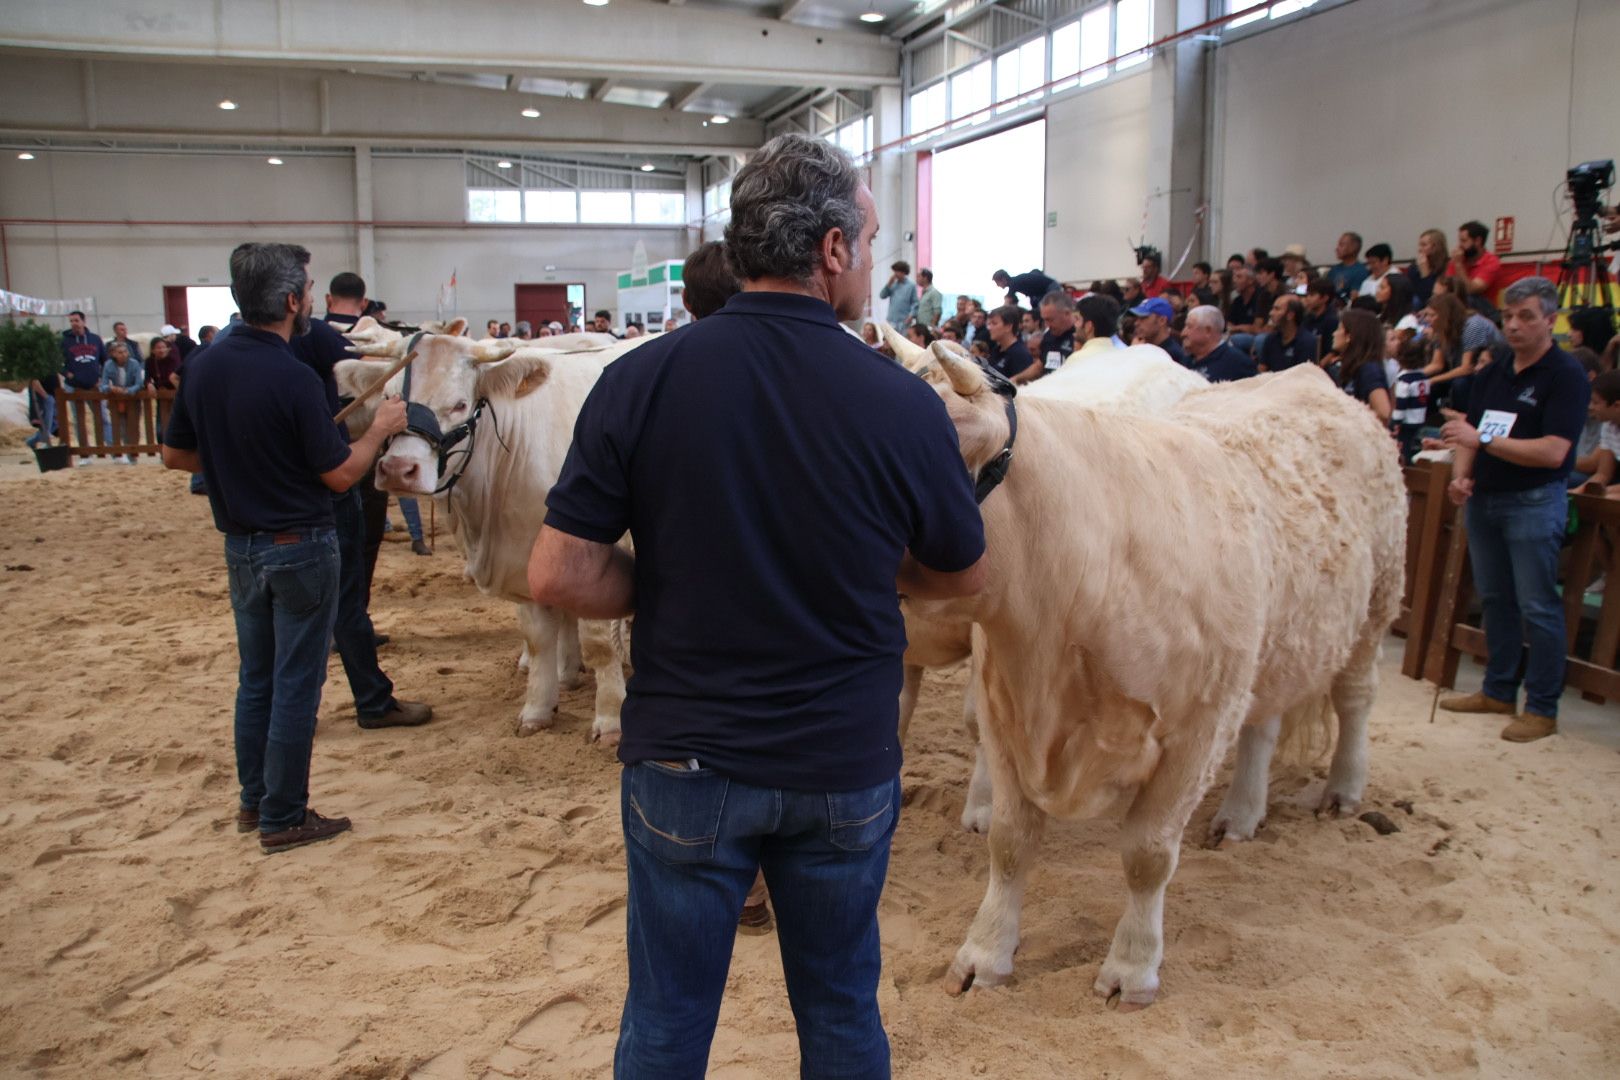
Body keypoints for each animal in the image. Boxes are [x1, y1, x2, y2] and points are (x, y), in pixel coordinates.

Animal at [332, 317, 641, 744]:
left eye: (460, 404)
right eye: (389, 400)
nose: (398, 470)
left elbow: (598, 642)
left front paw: (611, 720)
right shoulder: (523, 558)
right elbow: (538, 637)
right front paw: (538, 709)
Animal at [913, 344, 1406, 1003]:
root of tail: (1312, 376)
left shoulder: (1196, 732)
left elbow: (1147, 855)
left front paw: (1131, 967)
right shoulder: (1004, 711)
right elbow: (1010, 842)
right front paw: (986, 952)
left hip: (1376, 603)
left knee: (1354, 699)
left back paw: (1343, 790)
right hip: (1269, 644)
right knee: (1264, 724)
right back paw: (1241, 814)